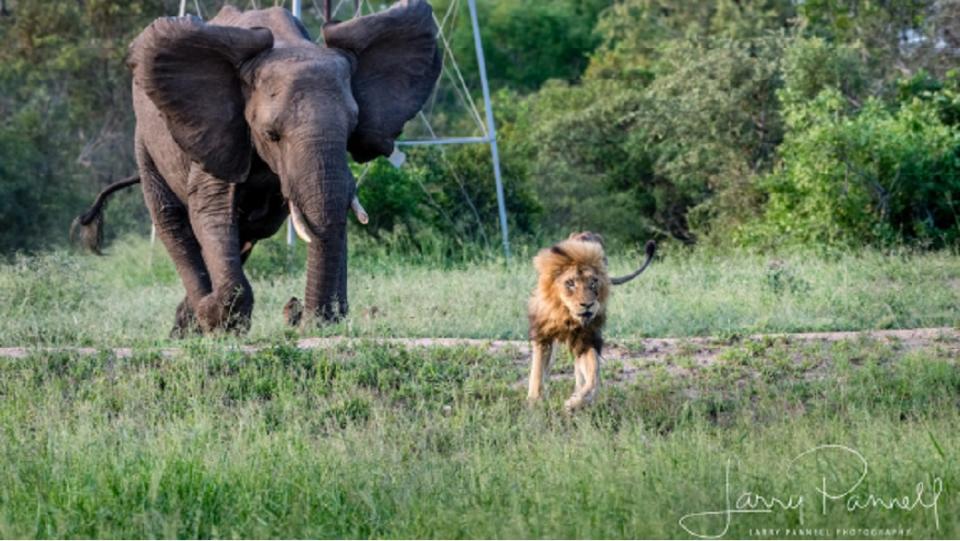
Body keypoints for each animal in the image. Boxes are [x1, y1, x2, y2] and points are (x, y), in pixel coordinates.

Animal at [74, 2, 442, 336]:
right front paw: (219, 318)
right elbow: (211, 211)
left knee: (248, 230)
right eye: (270, 134)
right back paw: (195, 318)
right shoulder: (217, 130)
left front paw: (318, 321)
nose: (307, 321)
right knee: (172, 221)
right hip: (147, 143)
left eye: (352, 128)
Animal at [528, 230, 656, 412]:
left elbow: (593, 375)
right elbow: (538, 371)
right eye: (570, 283)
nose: (587, 305)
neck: (567, 316)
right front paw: (535, 401)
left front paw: (576, 401)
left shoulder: (586, 340)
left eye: (593, 282)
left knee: (580, 373)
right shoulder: (543, 335)